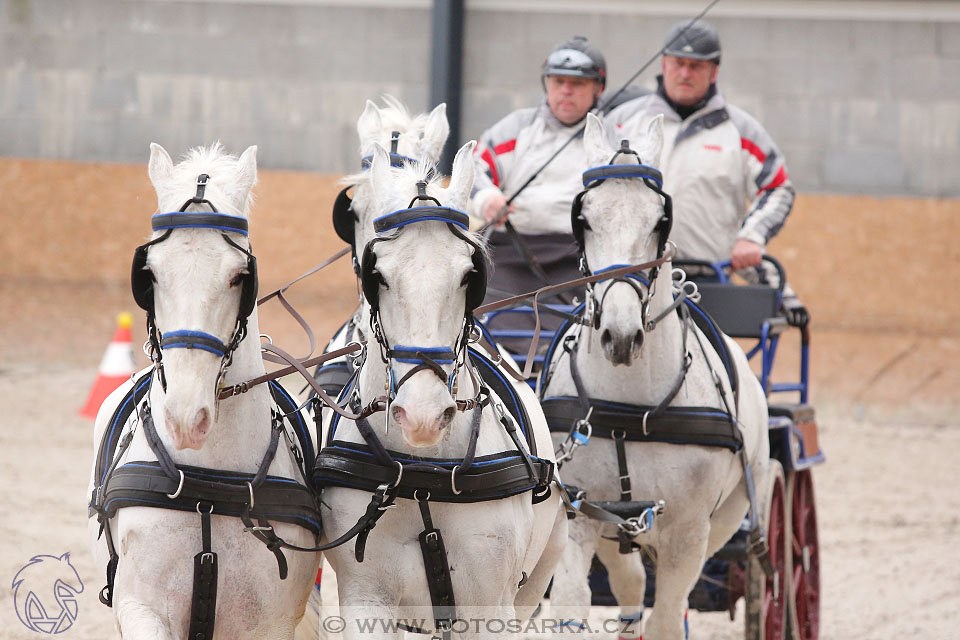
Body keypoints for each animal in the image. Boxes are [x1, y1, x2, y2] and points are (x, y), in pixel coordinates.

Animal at [87, 142, 318, 636]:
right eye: (150, 274)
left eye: (239, 276)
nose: (184, 418)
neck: (209, 490)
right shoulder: (142, 608)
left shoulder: (269, 624)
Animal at [316, 142, 568, 636]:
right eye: (378, 274)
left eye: (470, 275)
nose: (423, 417)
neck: (423, 477)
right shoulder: (365, 597)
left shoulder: (490, 606)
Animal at [544, 115, 768, 640]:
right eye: (584, 219)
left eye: (659, 220)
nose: (621, 336)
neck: (630, 409)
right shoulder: (579, 514)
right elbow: (571, 604)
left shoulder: (688, 531)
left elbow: (668, 616)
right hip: (616, 526)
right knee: (630, 583)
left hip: (729, 517)